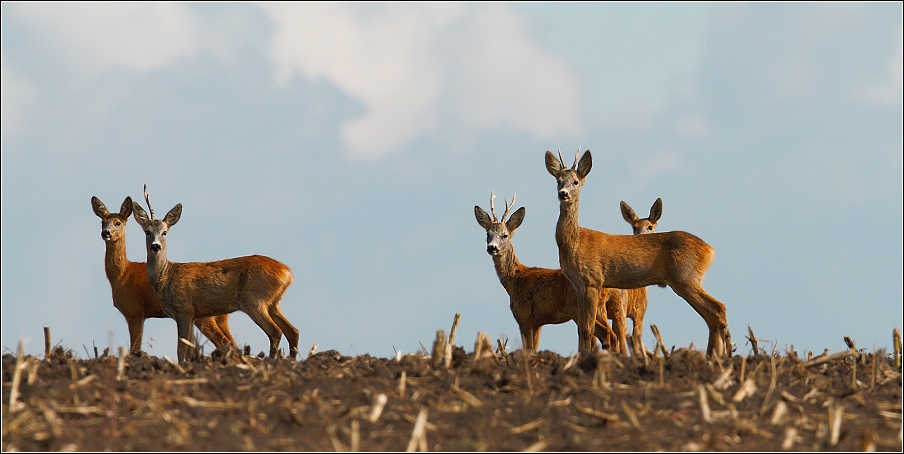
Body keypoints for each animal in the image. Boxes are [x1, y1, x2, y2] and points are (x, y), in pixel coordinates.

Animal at [92, 195, 237, 354]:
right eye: (102, 222)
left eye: (118, 222)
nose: (106, 232)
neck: (122, 274)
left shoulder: (135, 311)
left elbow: (134, 348)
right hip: (220, 317)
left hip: (204, 315)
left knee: (224, 342)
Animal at [132, 186, 300, 364]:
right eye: (147, 232)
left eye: (164, 232)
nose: (155, 246)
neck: (166, 275)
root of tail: (287, 272)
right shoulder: (192, 315)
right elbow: (190, 351)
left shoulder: (183, 309)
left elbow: (181, 349)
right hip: (273, 302)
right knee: (293, 331)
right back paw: (290, 361)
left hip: (254, 300)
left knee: (275, 331)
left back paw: (271, 361)